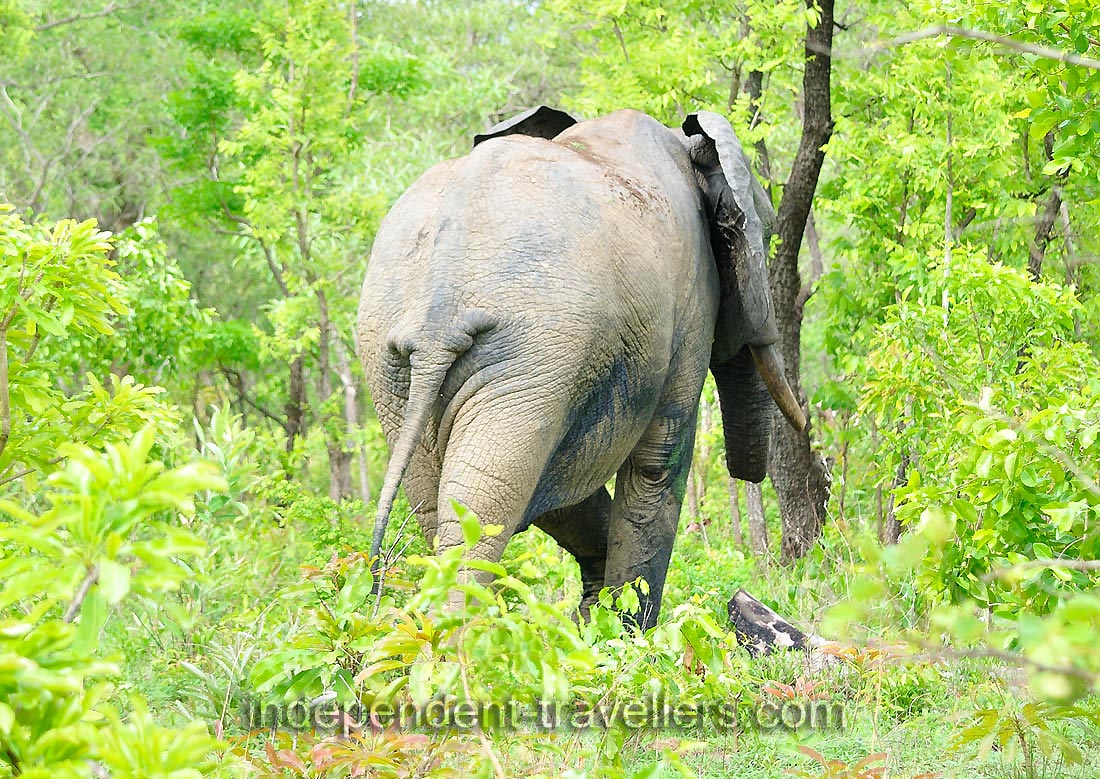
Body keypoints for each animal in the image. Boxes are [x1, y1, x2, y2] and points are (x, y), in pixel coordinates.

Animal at [357, 106, 805, 629]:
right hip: (533, 347)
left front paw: (594, 619)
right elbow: (656, 463)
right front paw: (628, 634)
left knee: (445, 500)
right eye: (767, 234)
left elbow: (558, 484)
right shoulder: (692, 300)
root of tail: (439, 303)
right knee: (487, 499)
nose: (748, 474)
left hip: (397, 362)